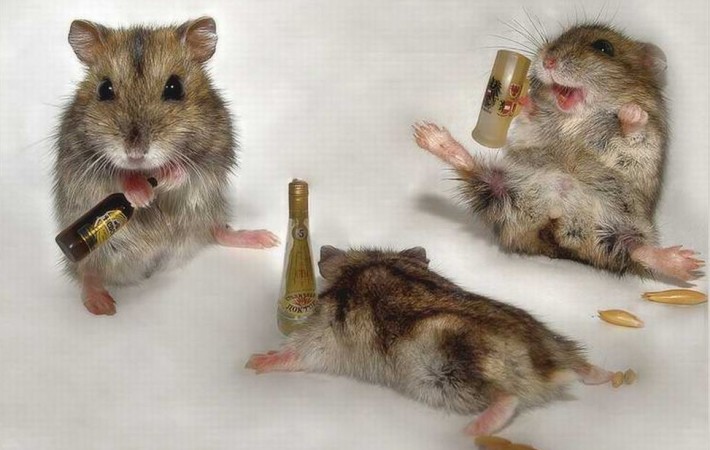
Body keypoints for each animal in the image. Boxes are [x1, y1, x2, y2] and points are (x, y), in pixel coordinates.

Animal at [52, 16, 280, 312]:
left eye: (175, 88)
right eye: (104, 89)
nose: (135, 153)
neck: (145, 169)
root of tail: (151, 267)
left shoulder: (216, 151)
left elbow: (191, 170)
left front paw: (169, 174)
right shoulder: (81, 159)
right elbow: (116, 176)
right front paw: (142, 195)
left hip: (208, 212)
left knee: (217, 232)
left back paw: (265, 239)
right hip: (91, 251)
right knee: (87, 271)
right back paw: (101, 306)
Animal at [246, 246, 616, 436]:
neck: (369, 263)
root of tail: (550, 368)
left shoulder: (319, 336)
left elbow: (293, 353)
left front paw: (253, 361)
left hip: (453, 374)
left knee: (507, 399)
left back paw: (468, 433)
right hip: (554, 342)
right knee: (582, 364)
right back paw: (610, 376)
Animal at [414, 23, 704, 282]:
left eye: (603, 47)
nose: (548, 60)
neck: (574, 117)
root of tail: (555, 229)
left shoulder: (647, 142)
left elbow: (634, 132)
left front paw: (630, 113)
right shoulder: (530, 131)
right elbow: (530, 119)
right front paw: (523, 101)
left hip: (625, 225)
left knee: (635, 250)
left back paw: (687, 263)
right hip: (502, 190)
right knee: (473, 169)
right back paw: (430, 136)